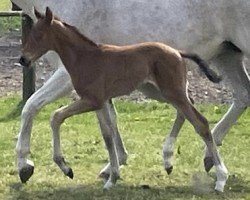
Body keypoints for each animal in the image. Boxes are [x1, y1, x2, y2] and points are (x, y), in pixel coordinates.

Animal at [20, 7, 229, 191]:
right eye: (30, 34)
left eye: (39, 35)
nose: (23, 59)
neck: (85, 57)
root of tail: (177, 52)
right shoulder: (101, 102)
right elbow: (107, 136)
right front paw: (112, 178)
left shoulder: (92, 100)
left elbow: (56, 117)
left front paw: (66, 168)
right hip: (163, 92)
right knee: (188, 112)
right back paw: (171, 162)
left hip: (172, 92)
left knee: (201, 123)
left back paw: (221, 179)